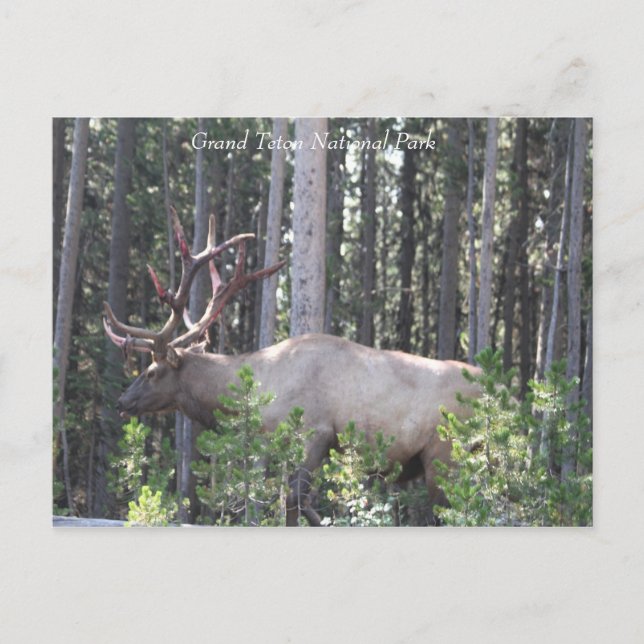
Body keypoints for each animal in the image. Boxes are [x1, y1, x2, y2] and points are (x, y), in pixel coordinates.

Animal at [104, 207, 481, 526]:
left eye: (151, 372)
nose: (122, 402)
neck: (265, 389)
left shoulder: (316, 433)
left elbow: (293, 502)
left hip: (444, 454)